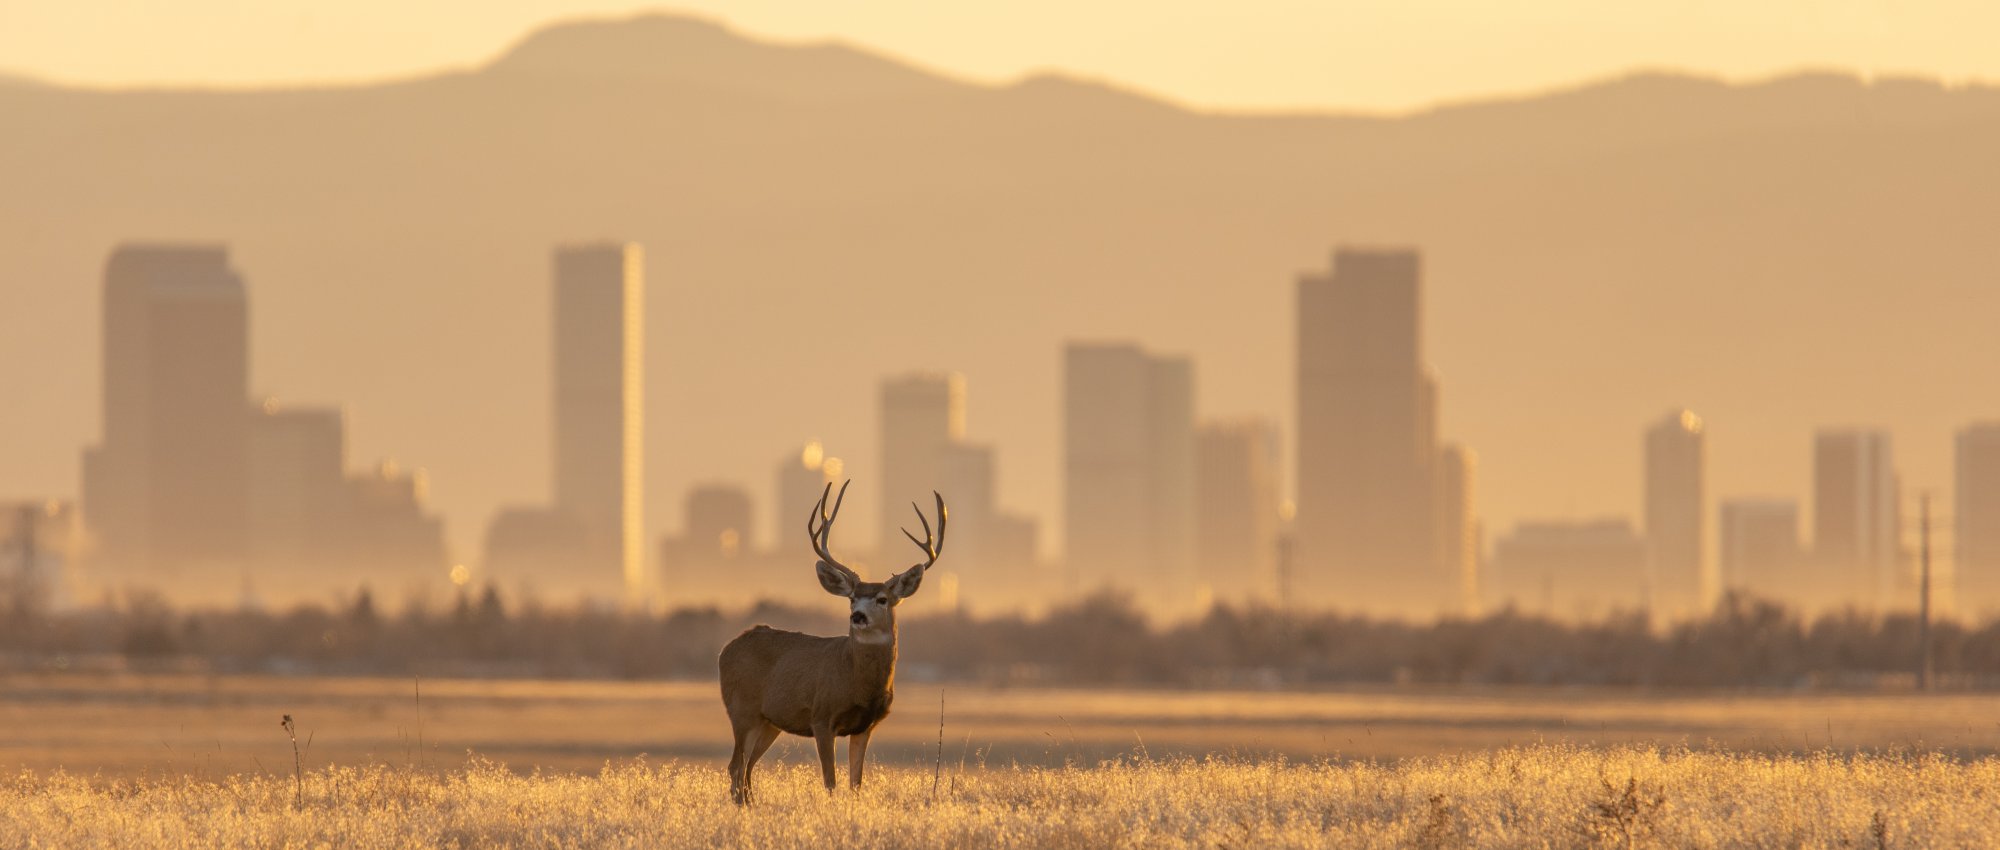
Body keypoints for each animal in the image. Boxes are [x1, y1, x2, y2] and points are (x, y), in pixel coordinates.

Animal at [717, 480, 946, 804]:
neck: (856, 682)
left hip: (769, 721)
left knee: (747, 767)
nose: (858, 616)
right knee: (736, 766)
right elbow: (830, 781)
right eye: (852, 597)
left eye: (882, 598)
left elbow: (855, 783)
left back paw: (751, 805)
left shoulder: (865, 725)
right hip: (742, 709)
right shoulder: (822, 717)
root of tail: (726, 649)